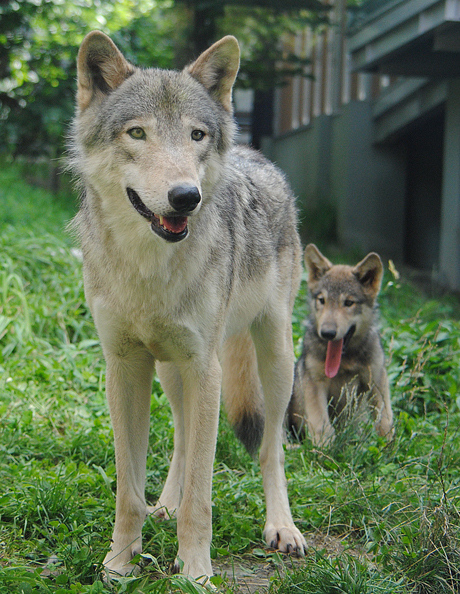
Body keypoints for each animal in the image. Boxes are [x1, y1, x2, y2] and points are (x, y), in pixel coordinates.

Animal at [69, 31, 306, 580]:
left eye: (196, 135)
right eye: (137, 133)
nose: (185, 197)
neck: (149, 268)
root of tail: (254, 153)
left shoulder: (206, 367)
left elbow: (203, 494)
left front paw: (196, 571)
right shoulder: (125, 366)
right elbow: (128, 490)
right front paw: (119, 562)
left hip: (273, 357)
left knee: (271, 450)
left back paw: (281, 527)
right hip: (171, 369)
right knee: (180, 434)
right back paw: (165, 503)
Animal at [290, 244, 394, 444]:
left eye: (348, 303)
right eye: (322, 300)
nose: (327, 333)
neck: (346, 361)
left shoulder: (376, 379)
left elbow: (385, 419)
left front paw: (388, 446)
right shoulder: (314, 383)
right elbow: (321, 424)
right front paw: (323, 449)